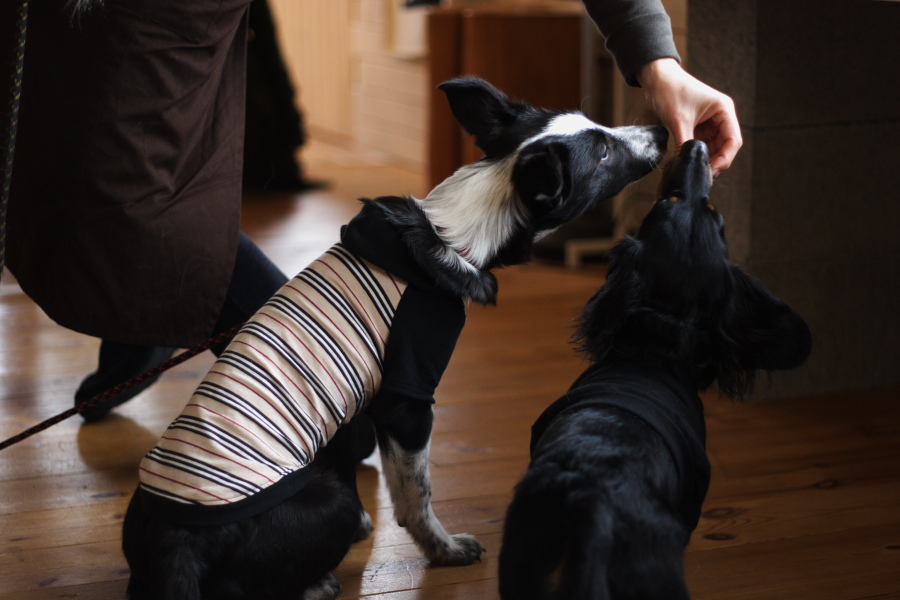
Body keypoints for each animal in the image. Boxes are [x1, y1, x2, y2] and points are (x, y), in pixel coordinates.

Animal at [120, 76, 669, 600]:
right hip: (325, 504)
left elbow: (345, 455)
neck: (455, 231)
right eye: (603, 151)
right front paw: (444, 551)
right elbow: (414, 495)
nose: (661, 131)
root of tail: (180, 542)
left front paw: (371, 527)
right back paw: (315, 581)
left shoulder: (351, 405)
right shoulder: (408, 401)